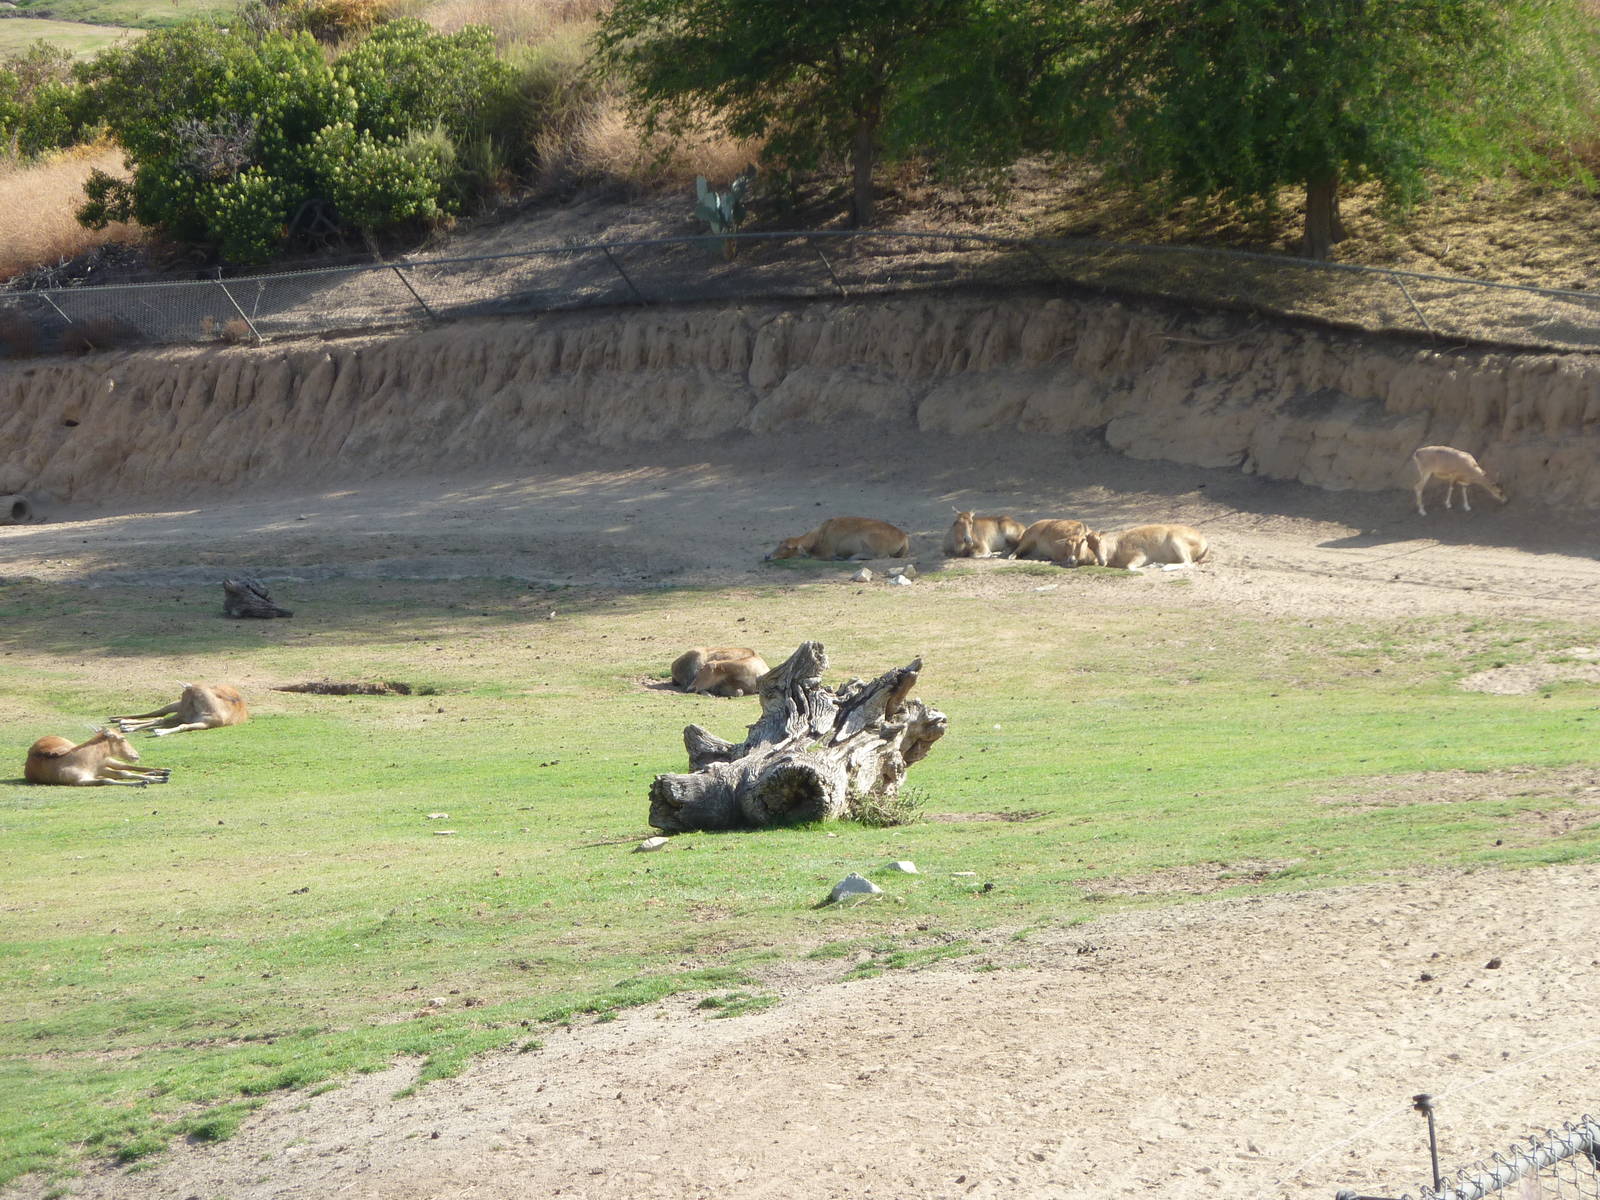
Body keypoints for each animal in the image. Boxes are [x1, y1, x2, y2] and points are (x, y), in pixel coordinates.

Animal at [24, 727, 172, 787]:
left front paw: (156, 778)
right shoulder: (80, 780)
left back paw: (163, 771)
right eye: (122, 738)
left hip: (108, 760)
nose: (136, 755)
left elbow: (123, 773)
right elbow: (107, 779)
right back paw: (158, 773)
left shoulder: (100, 767)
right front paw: (144, 782)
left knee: (124, 766)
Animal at [111, 682, 249, 736]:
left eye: (184, 696)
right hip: (174, 706)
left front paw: (159, 732)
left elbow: (183, 726)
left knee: (159, 717)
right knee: (158, 713)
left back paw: (123, 723)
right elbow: (161, 719)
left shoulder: (206, 724)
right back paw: (116, 719)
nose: (183, 712)